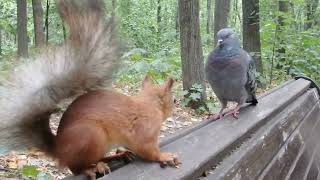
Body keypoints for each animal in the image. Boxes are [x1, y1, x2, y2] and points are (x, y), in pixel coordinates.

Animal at [0, 0, 179, 179]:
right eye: (174, 100)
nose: (175, 107)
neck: (150, 104)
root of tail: (60, 151)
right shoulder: (145, 129)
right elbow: (147, 149)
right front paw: (165, 156)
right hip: (91, 136)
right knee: (77, 167)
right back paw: (92, 168)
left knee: (97, 159)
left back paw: (116, 156)